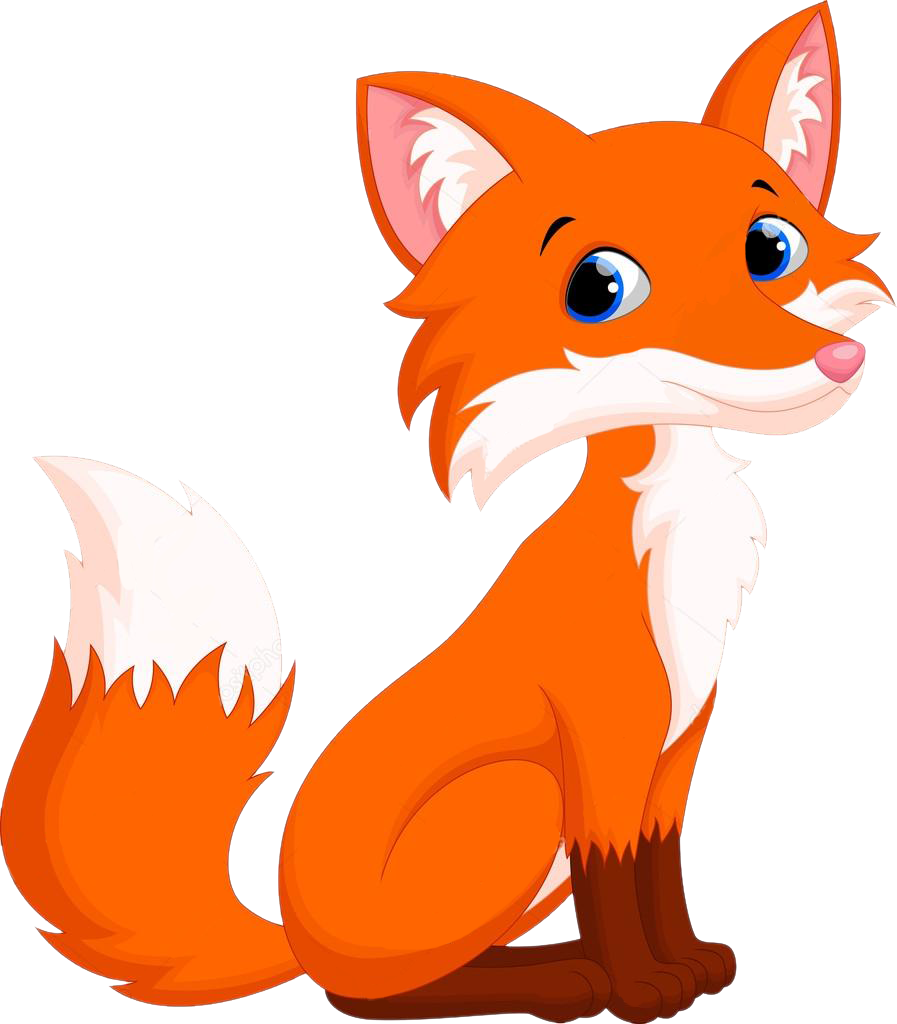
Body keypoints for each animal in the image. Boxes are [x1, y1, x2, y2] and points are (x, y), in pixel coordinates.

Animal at [3, 4, 891, 1022]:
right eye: (599, 290)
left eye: (770, 247)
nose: (832, 360)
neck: (669, 537)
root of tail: (292, 935)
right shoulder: (602, 743)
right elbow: (615, 876)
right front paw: (641, 989)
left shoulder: (677, 744)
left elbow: (657, 868)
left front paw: (691, 963)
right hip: (519, 796)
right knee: (369, 996)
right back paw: (560, 979)